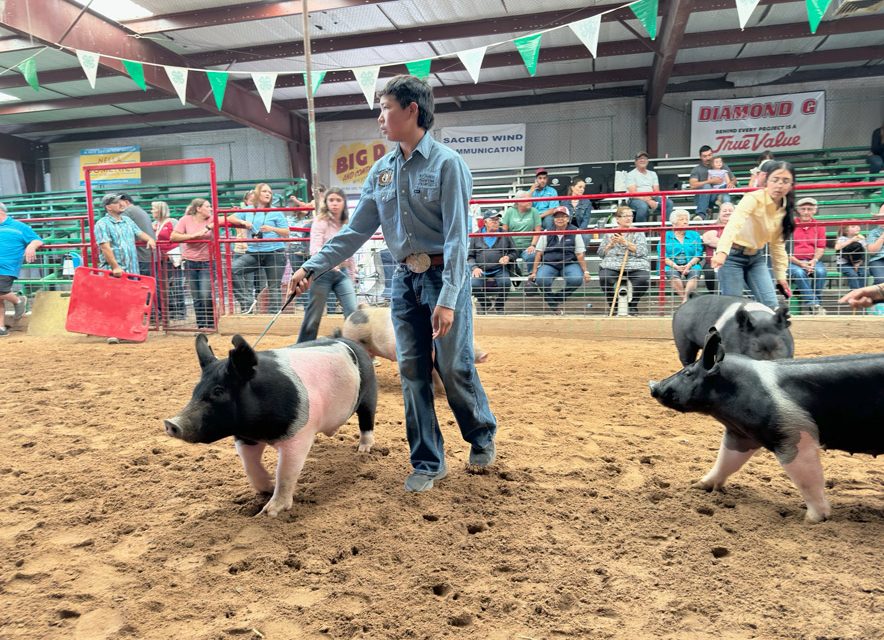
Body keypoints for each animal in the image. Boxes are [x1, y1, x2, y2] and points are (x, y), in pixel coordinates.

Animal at [164, 332, 378, 516]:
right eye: (196, 390)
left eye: (219, 391)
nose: (170, 423)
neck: (261, 431)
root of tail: (353, 345)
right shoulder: (244, 437)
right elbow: (250, 466)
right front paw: (266, 488)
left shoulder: (300, 435)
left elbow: (285, 472)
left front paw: (269, 512)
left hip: (369, 395)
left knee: (367, 422)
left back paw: (363, 451)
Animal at [648, 332, 884, 524]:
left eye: (687, 373)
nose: (652, 385)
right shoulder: (741, 434)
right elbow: (726, 461)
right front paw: (697, 485)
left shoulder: (794, 434)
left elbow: (807, 479)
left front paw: (812, 519)